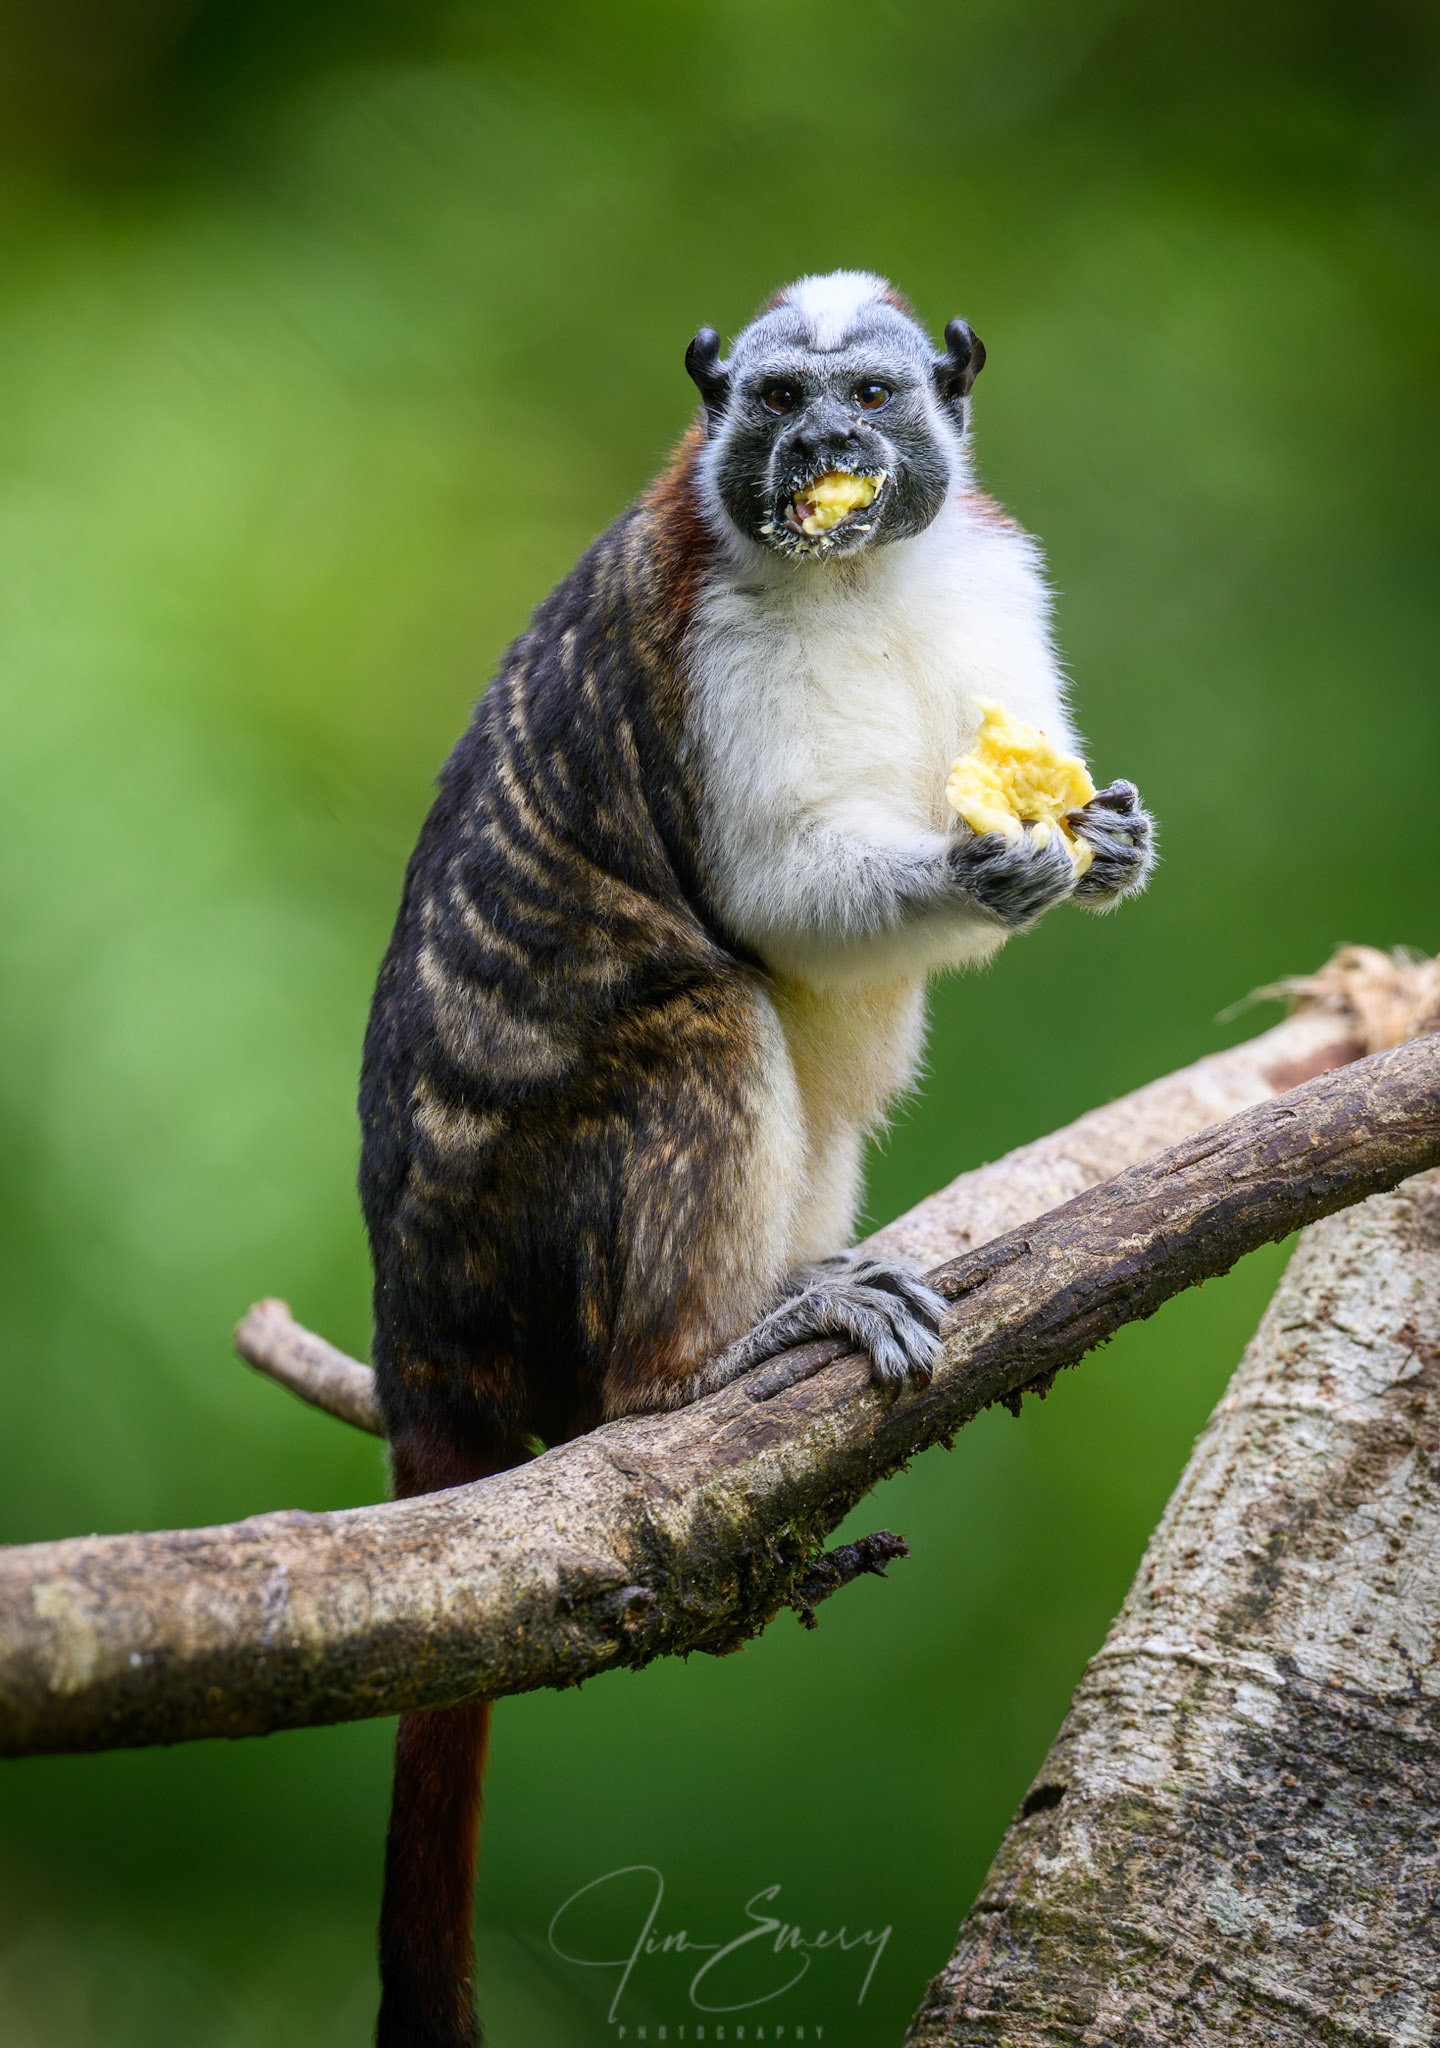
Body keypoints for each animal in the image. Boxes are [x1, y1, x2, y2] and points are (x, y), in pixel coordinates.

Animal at [358, 270, 1155, 2046]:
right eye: (780, 402)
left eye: (872, 396)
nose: (827, 456)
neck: (858, 577)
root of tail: (416, 1326)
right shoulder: (714, 637)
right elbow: (777, 899)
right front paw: (979, 862)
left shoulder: (992, 570)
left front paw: (1105, 845)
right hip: (528, 1240)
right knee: (716, 1017)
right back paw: (706, 1362)